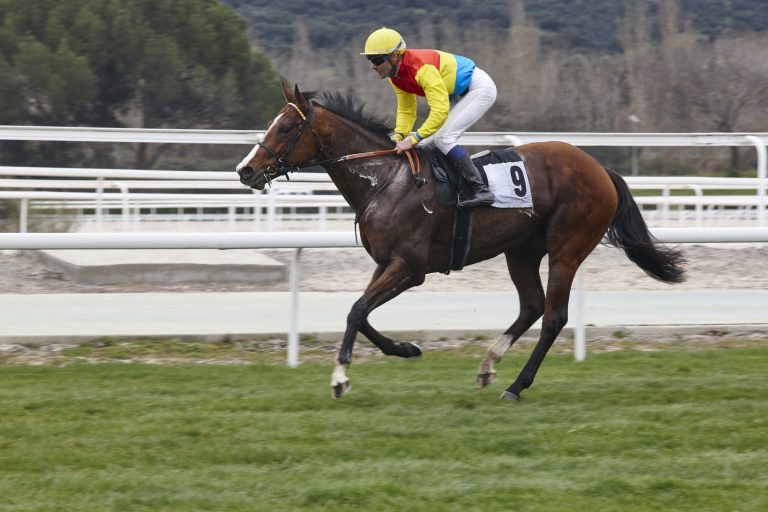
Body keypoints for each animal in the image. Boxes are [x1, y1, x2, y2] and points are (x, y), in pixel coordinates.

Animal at [236, 85, 686, 401]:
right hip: (521, 250)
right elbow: (360, 312)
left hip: (567, 249)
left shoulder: (410, 267)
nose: (245, 170)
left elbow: (356, 311)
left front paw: (340, 378)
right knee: (531, 306)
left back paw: (516, 386)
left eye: (286, 127)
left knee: (553, 317)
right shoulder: (386, 262)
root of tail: (599, 168)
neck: (385, 179)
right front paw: (406, 348)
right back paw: (488, 366)